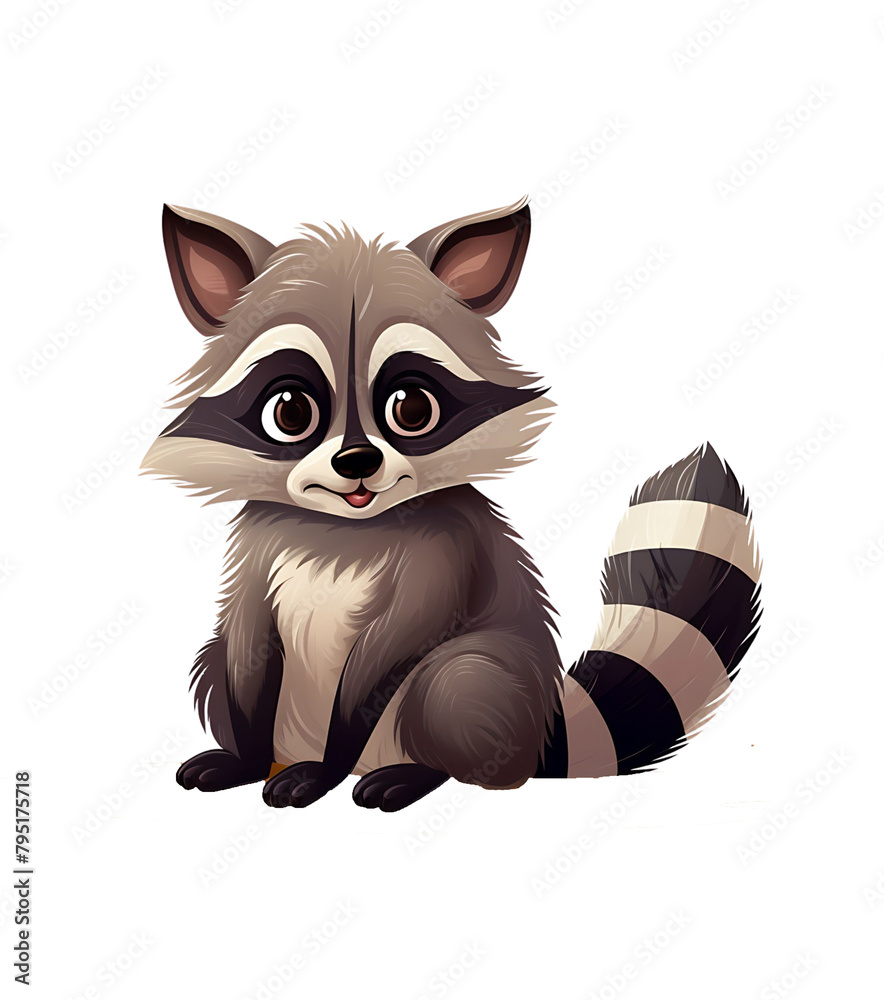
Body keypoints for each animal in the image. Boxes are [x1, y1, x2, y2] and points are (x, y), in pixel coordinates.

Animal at [142, 199, 762, 812]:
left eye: (411, 407)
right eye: (290, 411)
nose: (357, 461)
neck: (347, 523)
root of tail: (538, 736)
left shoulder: (445, 541)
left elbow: (407, 633)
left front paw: (328, 763)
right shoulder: (257, 542)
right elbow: (245, 638)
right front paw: (245, 756)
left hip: (491, 697)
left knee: (455, 677)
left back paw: (410, 772)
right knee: (215, 657)